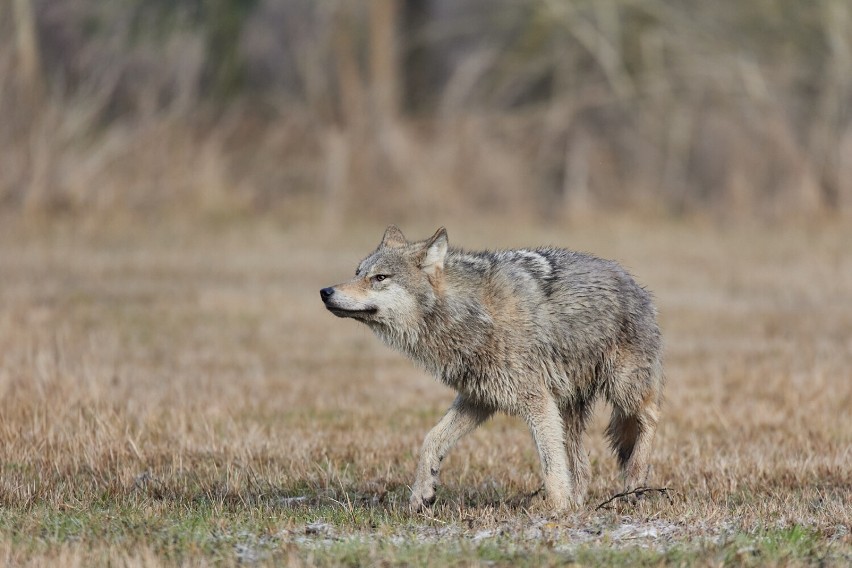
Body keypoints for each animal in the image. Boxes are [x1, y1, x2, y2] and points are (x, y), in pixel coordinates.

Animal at [320, 225, 664, 510]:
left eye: (380, 278)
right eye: (357, 273)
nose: (325, 292)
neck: (469, 313)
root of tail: (635, 283)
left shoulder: (536, 401)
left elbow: (550, 465)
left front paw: (557, 512)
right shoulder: (479, 399)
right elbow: (431, 439)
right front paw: (422, 494)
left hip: (622, 388)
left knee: (650, 416)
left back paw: (635, 482)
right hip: (569, 411)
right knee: (583, 467)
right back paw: (581, 501)